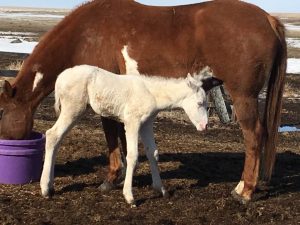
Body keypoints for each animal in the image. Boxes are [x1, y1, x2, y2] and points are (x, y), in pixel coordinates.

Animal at [39, 64, 221, 206]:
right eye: (200, 103)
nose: (204, 126)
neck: (151, 93)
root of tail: (60, 78)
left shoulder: (146, 124)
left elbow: (153, 153)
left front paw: (161, 189)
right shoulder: (132, 122)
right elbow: (132, 155)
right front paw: (129, 197)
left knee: (57, 139)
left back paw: (51, 185)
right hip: (73, 108)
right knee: (52, 135)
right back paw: (45, 189)